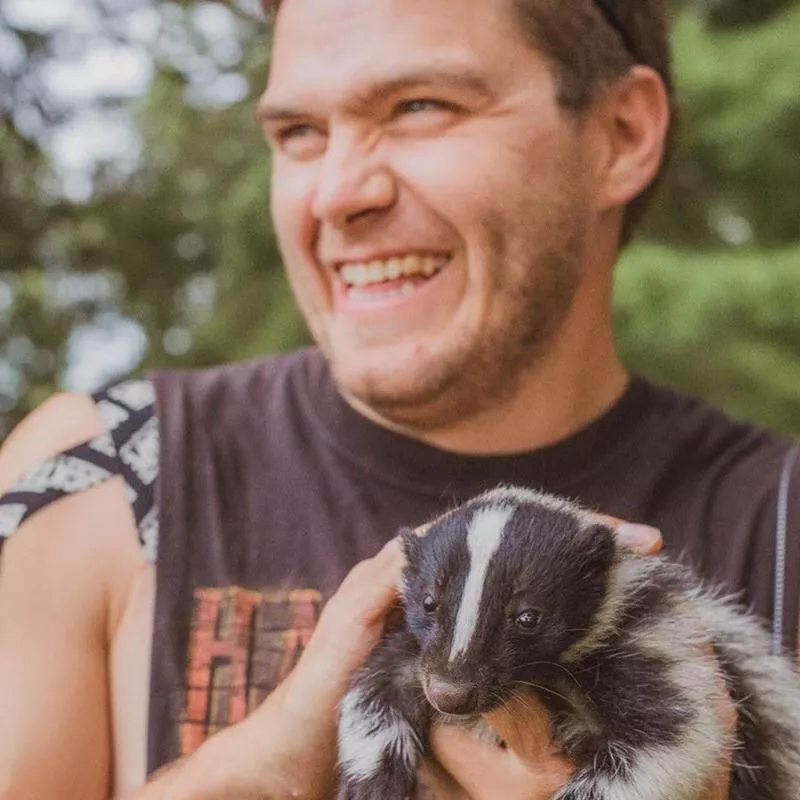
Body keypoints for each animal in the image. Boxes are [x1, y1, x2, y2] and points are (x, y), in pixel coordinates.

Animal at [336, 484, 800, 796]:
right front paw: (373, 785)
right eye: (429, 602)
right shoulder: (417, 652)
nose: (451, 694)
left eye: (528, 617)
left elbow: (670, 738)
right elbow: (375, 689)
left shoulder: (652, 644)